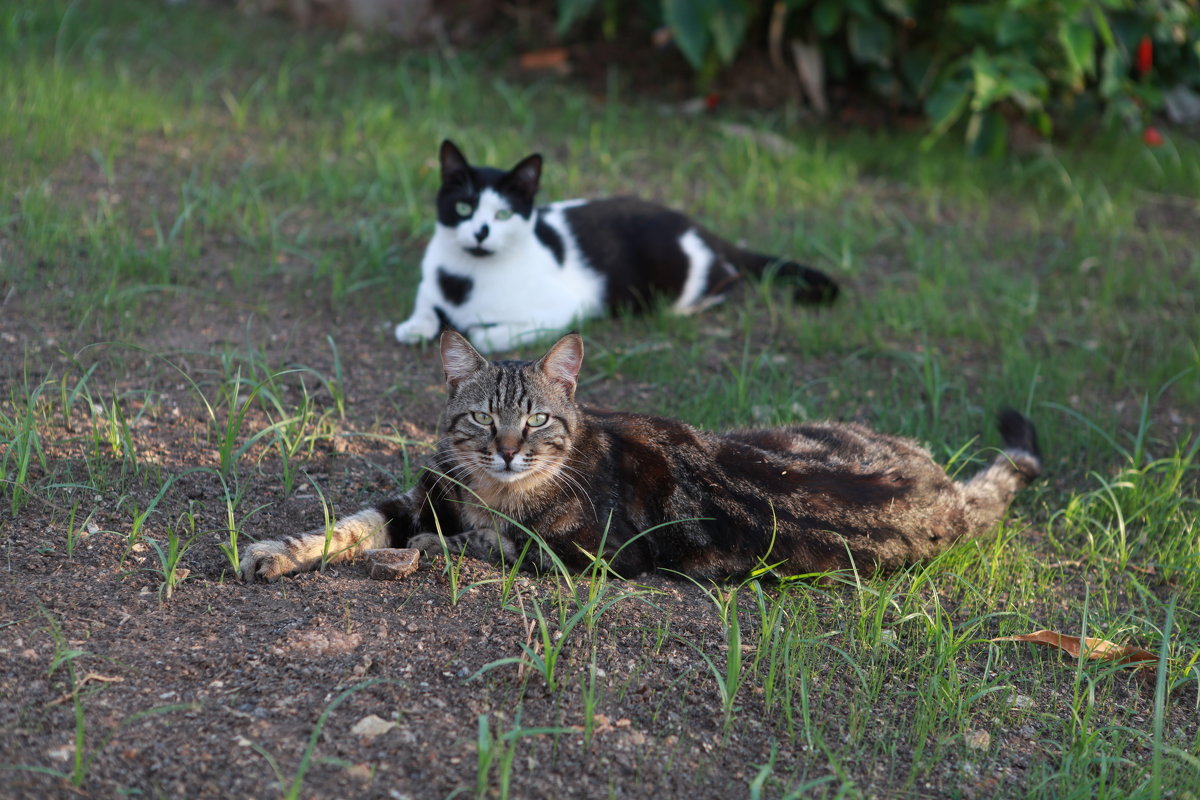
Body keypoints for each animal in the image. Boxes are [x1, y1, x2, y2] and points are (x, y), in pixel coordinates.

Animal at [241, 331, 1041, 582]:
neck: (494, 492)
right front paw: (278, 552)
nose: (506, 452)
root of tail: (947, 493)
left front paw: (418, 554)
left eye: (536, 421)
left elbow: (477, 544)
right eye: (482, 419)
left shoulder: (587, 550)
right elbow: (346, 524)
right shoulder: (420, 498)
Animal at [388, 139, 840, 352]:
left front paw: (474, 329)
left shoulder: (566, 308)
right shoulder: (431, 285)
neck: (465, 276)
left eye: (502, 215)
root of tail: (699, 225)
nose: (480, 232)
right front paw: (416, 325)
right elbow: (425, 305)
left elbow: (485, 336)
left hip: (678, 277)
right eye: (464, 206)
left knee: (726, 279)